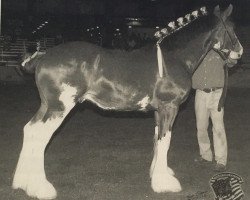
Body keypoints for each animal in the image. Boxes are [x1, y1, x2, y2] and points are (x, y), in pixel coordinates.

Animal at [11, 4, 242, 200]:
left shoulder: (159, 110)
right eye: (230, 28)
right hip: (59, 107)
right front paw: (165, 184)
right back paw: (41, 188)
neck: (174, 57)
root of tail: (41, 57)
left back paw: (23, 183)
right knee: (40, 136)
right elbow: (165, 140)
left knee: (29, 130)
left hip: (47, 106)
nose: (239, 51)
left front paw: (158, 175)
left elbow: (157, 138)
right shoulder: (169, 107)